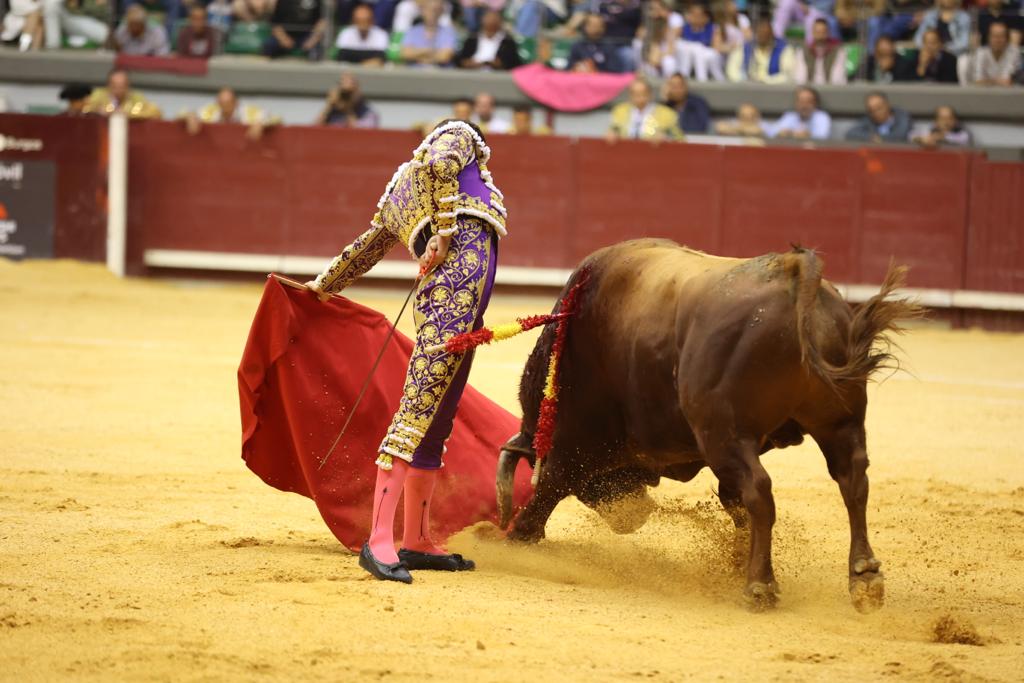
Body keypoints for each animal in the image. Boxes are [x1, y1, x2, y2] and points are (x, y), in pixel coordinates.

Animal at [496, 240, 920, 611]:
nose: (634, 516)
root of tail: (792, 269)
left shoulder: (575, 440)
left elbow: (550, 486)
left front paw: (515, 536)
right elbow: (733, 502)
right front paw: (737, 560)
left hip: (724, 434)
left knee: (761, 491)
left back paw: (760, 587)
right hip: (838, 421)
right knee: (852, 479)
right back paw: (864, 577)